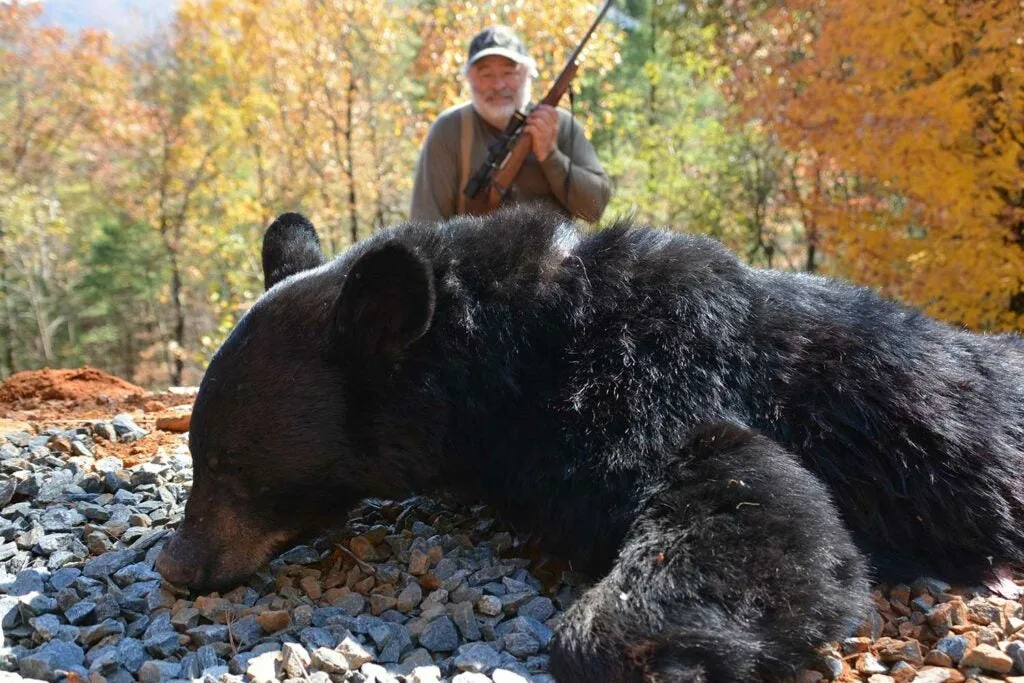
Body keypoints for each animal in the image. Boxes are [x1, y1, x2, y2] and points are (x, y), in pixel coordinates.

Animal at [155, 205, 1024, 679]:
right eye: (198, 454)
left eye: (230, 465)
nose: (174, 564)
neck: (515, 354)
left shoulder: (657, 377)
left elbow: (766, 510)